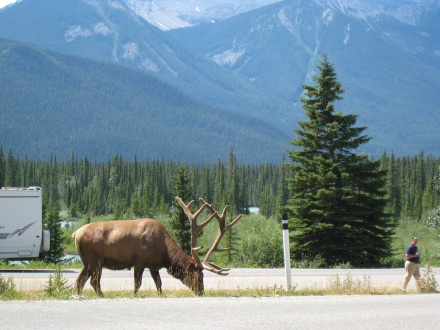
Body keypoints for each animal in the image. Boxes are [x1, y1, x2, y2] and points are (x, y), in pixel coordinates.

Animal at [72, 196, 241, 296]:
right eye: (198, 275)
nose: (201, 292)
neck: (164, 253)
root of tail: (75, 234)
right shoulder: (139, 261)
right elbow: (137, 284)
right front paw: (135, 295)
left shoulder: (154, 266)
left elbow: (159, 285)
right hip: (96, 260)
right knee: (94, 282)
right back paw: (101, 295)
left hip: (86, 262)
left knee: (80, 280)